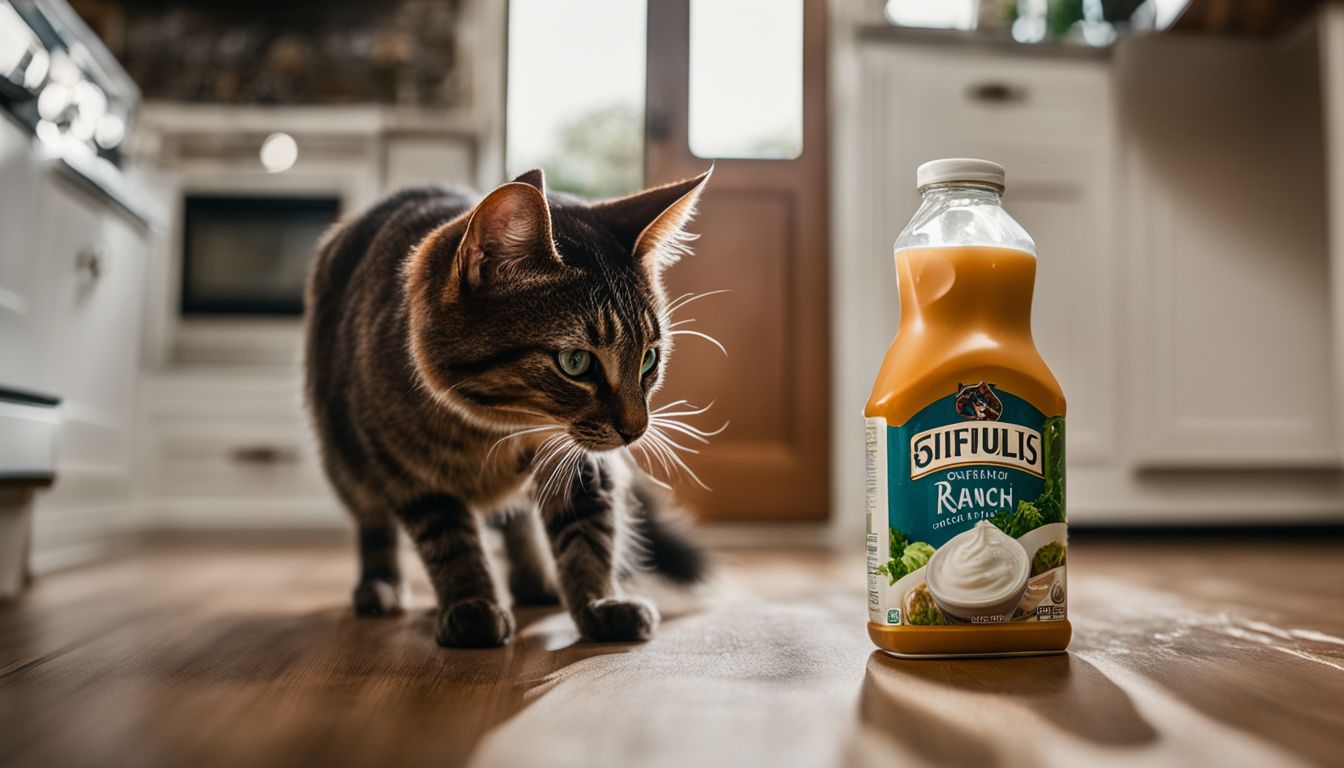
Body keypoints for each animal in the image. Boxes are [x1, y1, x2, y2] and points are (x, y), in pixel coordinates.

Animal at [306, 169, 715, 648]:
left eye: (649, 358)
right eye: (576, 362)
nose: (636, 430)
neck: (492, 431)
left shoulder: (577, 463)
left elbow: (588, 535)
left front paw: (598, 602)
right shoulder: (406, 472)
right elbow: (450, 541)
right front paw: (470, 605)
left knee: (518, 521)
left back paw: (536, 581)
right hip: (345, 459)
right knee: (372, 523)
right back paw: (379, 585)